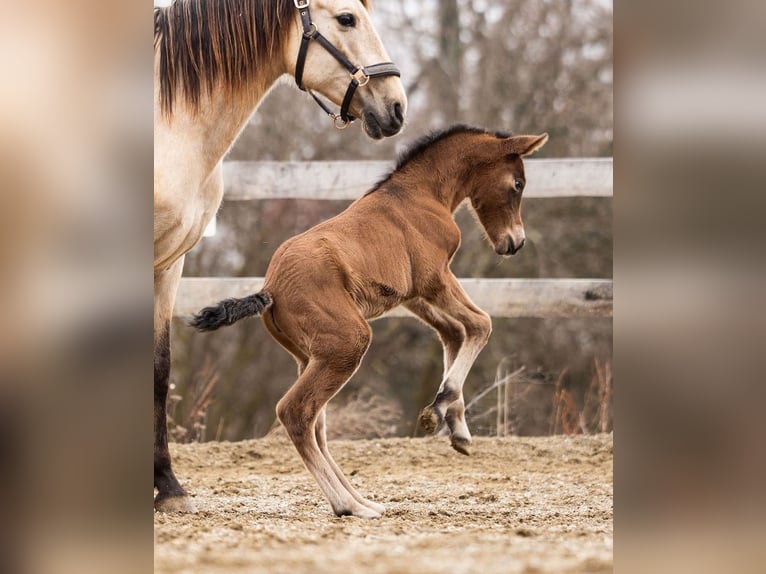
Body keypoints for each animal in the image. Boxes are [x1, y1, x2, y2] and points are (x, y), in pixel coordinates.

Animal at [191, 125, 548, 518]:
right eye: (518, 184)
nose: (515, 242)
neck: (420, 196)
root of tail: (270, 288)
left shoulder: (414, 297)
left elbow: (454, 333)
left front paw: (455, 427)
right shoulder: (435, 279)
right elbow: (480, 325)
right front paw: (439, 410)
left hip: (310, 357)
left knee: (317, 424)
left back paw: (362, 500)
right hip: (347, 343)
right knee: (296, 413)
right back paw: (348, 505)